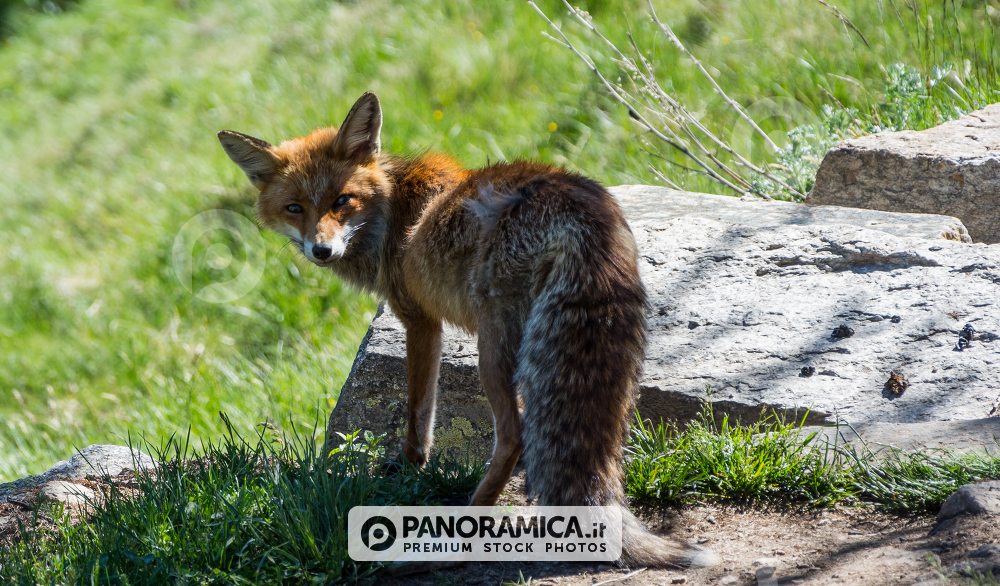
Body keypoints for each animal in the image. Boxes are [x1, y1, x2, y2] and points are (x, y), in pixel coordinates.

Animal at [217, 92, 719, 568]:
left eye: (342, 200)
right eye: (295, 208)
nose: (321, 251)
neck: (392, 209)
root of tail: (579, 205)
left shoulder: (419, 320)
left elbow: (419, 413)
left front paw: (410, 470)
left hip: (492, 348)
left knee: (515, 436)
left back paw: (461, 534)